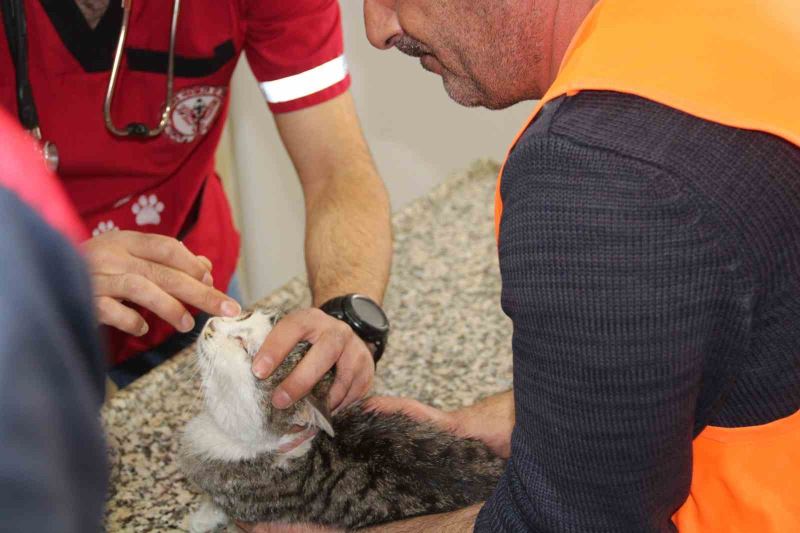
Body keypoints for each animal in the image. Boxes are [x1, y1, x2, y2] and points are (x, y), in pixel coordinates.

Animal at [181, 310, 506, 528]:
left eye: (244, 347)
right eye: (243, 314)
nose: (211, 323)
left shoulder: (244, 505)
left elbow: (220, 507)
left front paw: (198, 519)